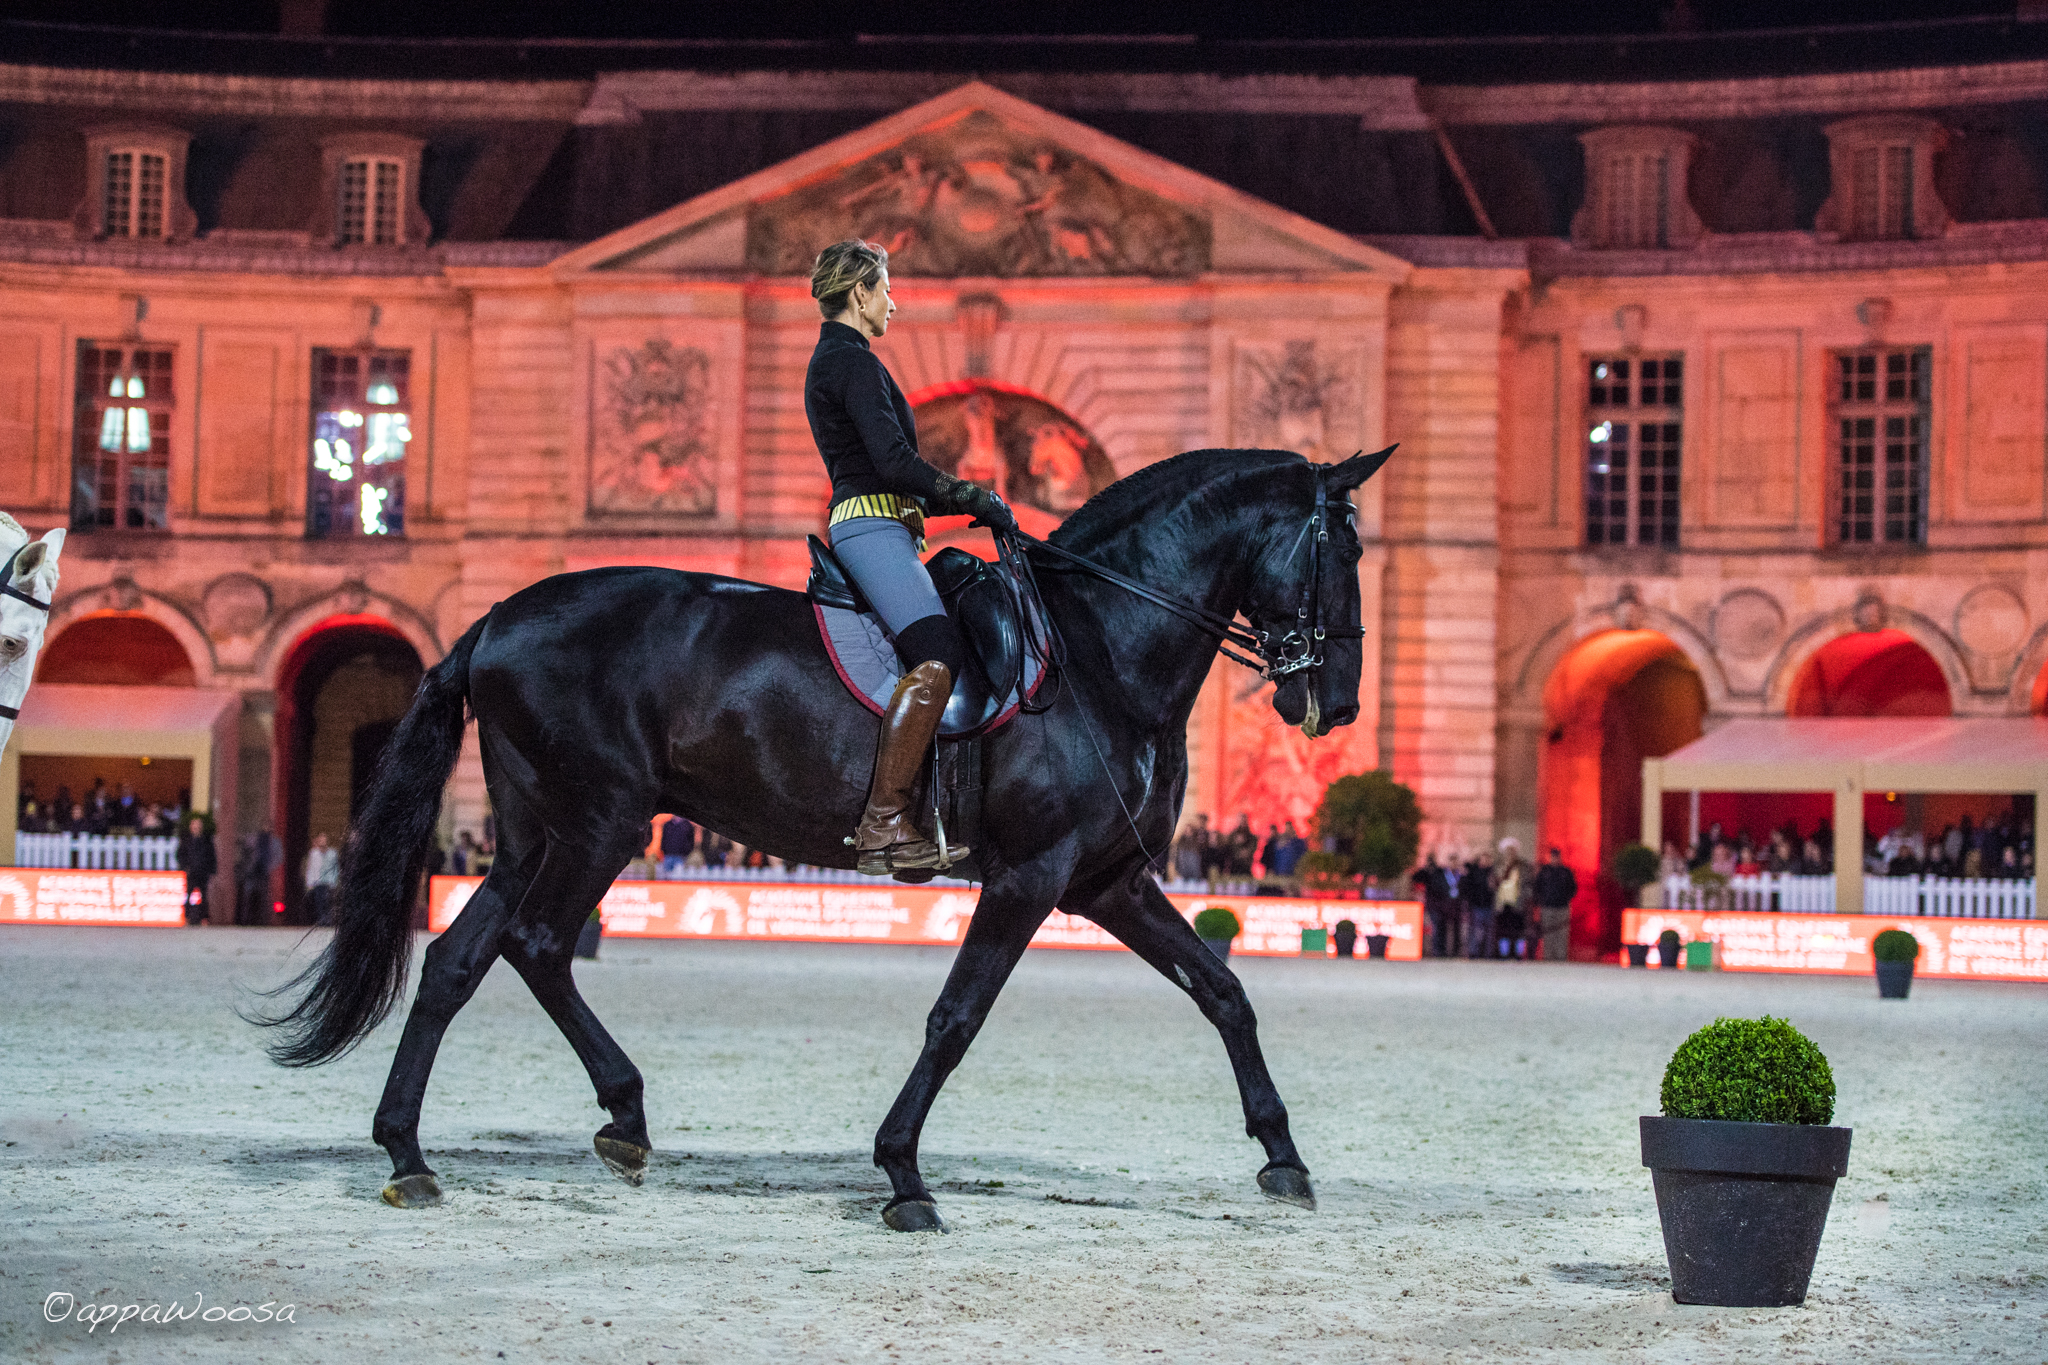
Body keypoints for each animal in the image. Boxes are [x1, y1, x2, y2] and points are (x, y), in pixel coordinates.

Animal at [247, 444, 1384, 1236]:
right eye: (1344, 552)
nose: (1332, 703)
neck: (1099, 646)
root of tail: (491, 619)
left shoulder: (1106, 879)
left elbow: (1223, 990)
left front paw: (1282, 1156)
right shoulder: (1030, 877)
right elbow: (955, 1019)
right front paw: (902, 1173)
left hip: (537, 831)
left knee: (456, 960)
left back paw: (416, 1151)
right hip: (599, 822)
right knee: (534, 946)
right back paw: (608, 1119)